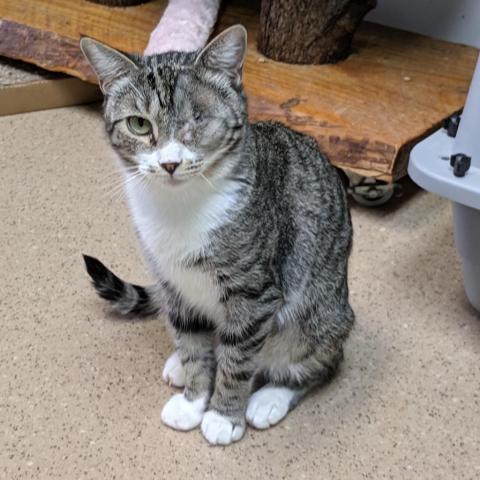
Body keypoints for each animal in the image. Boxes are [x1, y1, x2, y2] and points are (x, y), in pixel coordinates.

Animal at [80, 25, 354, 446]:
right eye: (139, 124)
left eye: (199, 117)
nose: (170, 163)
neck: (178, 209)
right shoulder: (171, 281)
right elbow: (193, 345)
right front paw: (193, 399)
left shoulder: (254, 294)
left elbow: (238, 359)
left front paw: (224, 415)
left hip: (316, 314)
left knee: (320, 361)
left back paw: (269, 398)